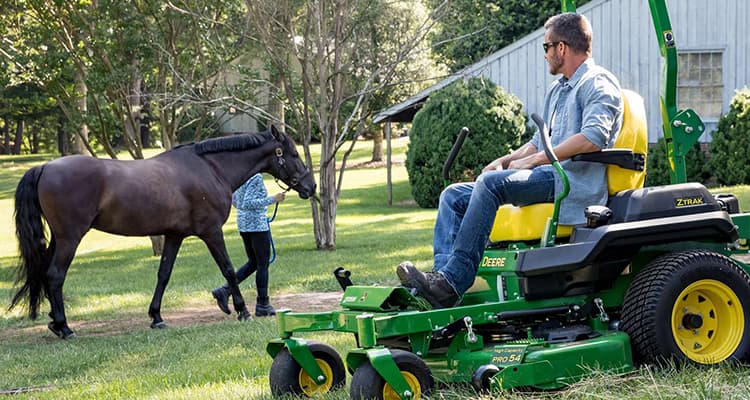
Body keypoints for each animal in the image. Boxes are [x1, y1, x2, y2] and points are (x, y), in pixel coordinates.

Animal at [9, 126, 314, 340]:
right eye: (294, 155)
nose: (310, 186)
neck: (210, 168)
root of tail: (45, 166)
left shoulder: (173, 236)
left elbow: (163, 275)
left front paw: (156, 316)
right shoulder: (211, 232)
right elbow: (228, 269)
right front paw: (242, 310)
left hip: (57, 239)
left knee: (45, 273)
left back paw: (54, 321)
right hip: (70, 238)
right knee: (55, 275)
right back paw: (65, 328)